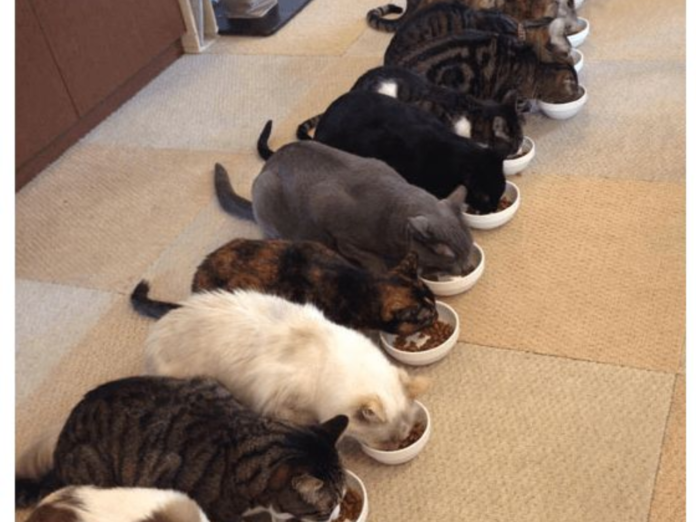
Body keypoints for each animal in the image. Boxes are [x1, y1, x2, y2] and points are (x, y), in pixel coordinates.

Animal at [214, 141, 475, 276]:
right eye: (448, 255)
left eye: (470, 246)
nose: (468, 267)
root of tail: (266, 165)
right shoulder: (338, 228)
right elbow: (371, 260)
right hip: (265, 190)